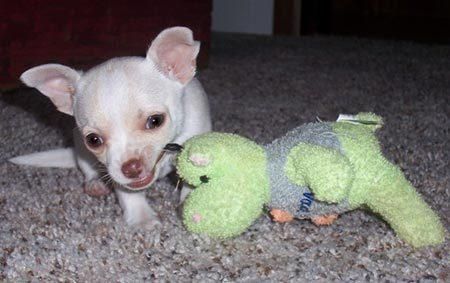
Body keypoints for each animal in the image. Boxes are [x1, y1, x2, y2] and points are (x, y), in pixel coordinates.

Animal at [11, 26, 212, 230]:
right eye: (93, 140)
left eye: (155, 121)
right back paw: (95, 183)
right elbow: (128, 192)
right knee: (86, 167)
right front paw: (142, 218)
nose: (131, 168)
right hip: (79, 146)